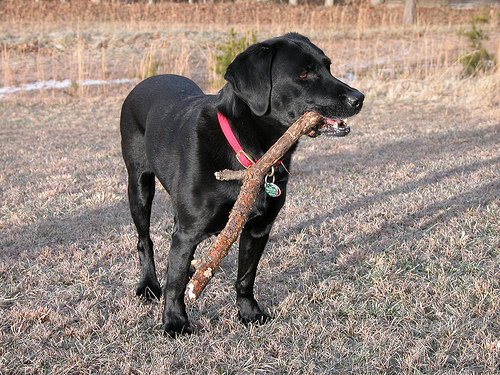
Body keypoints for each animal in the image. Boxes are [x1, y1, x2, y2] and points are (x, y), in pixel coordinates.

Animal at [121, 33, 364, 338]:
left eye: (328, 66)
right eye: (303, 74)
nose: (359, 98)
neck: (251, 155)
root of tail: (145, 81)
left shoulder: (259, 228)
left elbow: (246, 277)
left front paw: (249, 313)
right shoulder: (188, 232)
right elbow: (175, 284)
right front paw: (175, 322)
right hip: (139, 185)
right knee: (145, 240)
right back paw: (149, 285)